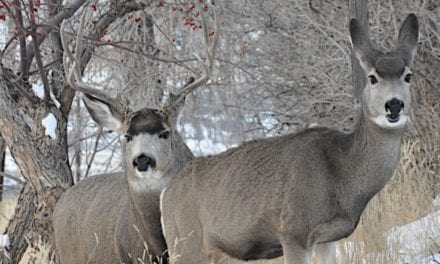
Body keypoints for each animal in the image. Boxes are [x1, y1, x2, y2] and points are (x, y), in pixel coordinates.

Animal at [162, 14, 420, 264]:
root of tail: (167, 192)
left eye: (408, 76)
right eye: (373, 77)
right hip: (186, 242)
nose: (394, 104)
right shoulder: (293, 229)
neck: (341, 175)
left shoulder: (327, 238)